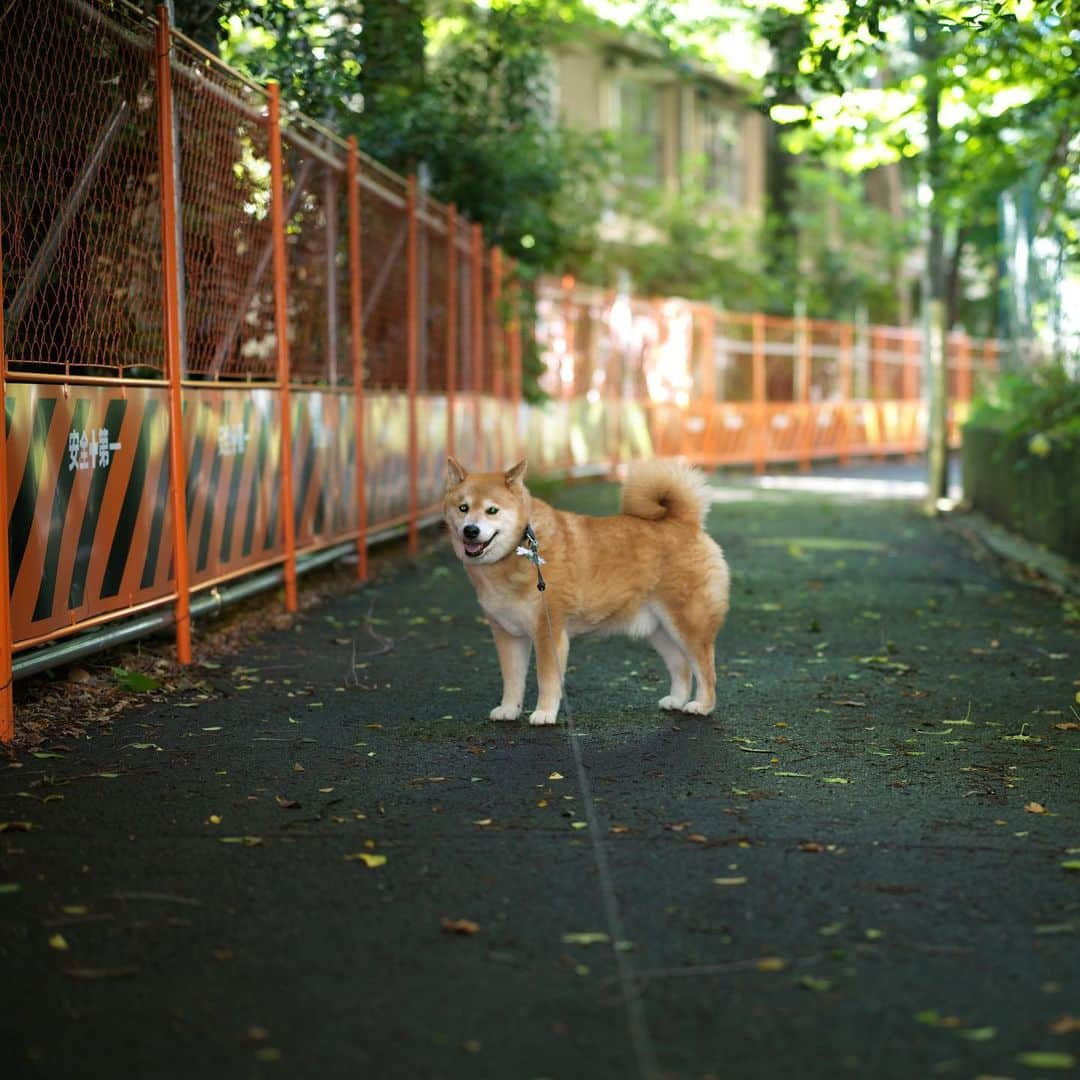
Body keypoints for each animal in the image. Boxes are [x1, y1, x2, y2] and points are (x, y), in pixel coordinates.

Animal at [442, 455, 730, 725]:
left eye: (492, 510)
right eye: (463, 508)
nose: (470, 530)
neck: (520, 548)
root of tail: (685, 522)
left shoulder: (548, 631)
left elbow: (546, 679)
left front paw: (544, 713)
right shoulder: (508, 634)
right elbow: (512, 680)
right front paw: (509, 709)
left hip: (688, 625)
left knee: (706, 670)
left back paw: (702, 706)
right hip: (659, 630)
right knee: (682, 667)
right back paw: (677, 700)